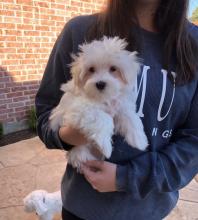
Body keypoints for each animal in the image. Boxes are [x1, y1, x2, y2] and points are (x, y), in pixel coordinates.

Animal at [50, 37, 148, 169]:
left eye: (113, 68)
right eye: (91, 69)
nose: (100, 84)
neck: (102, 97)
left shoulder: (121, 104)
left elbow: (131, 117)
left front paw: (139, 140)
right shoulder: (80, 109)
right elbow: (103, 118)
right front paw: (105, 146)